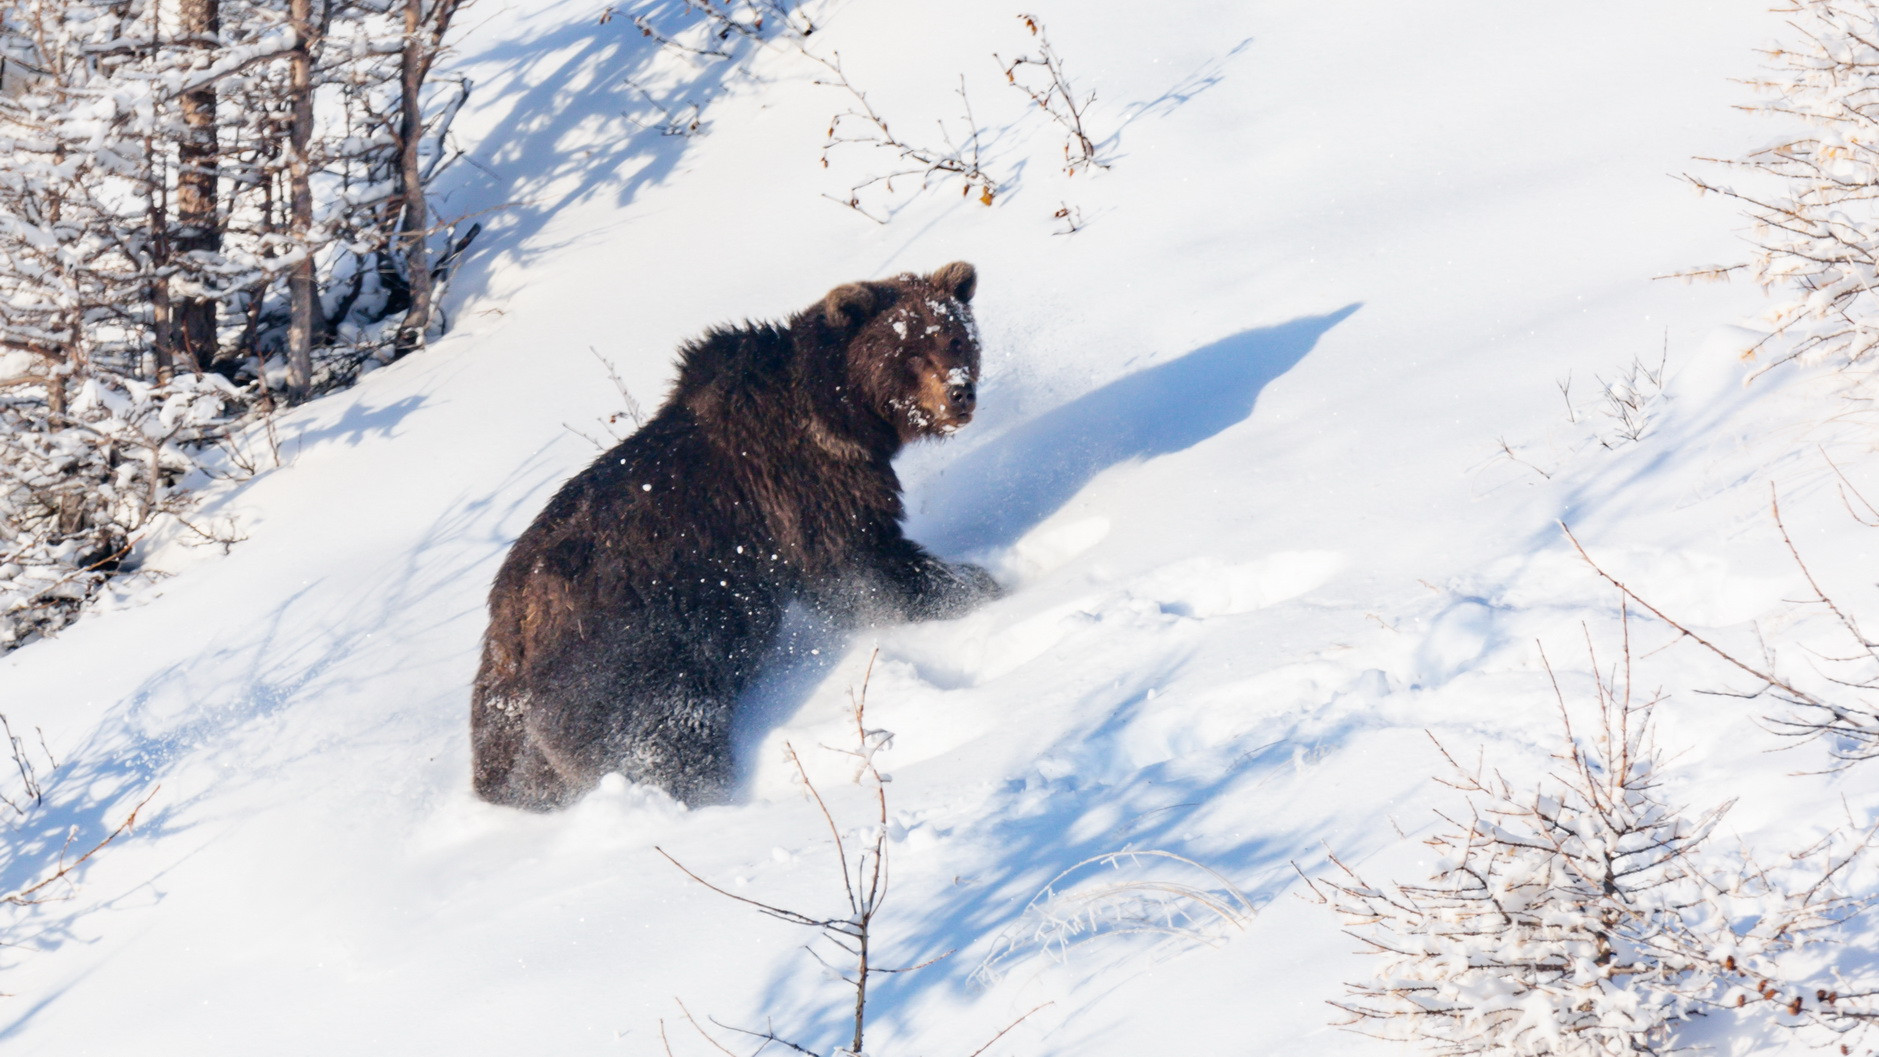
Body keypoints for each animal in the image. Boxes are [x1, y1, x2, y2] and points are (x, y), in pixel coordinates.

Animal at [469, 262, 999, 811]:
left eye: (956, 337)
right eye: (910, 348)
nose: (959, 392)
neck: (838, 412)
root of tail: (509, 632)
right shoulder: (799, 485)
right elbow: (860, 562)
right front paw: (974, 582)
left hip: (515, 716)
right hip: (629, 660)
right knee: (667, 738)